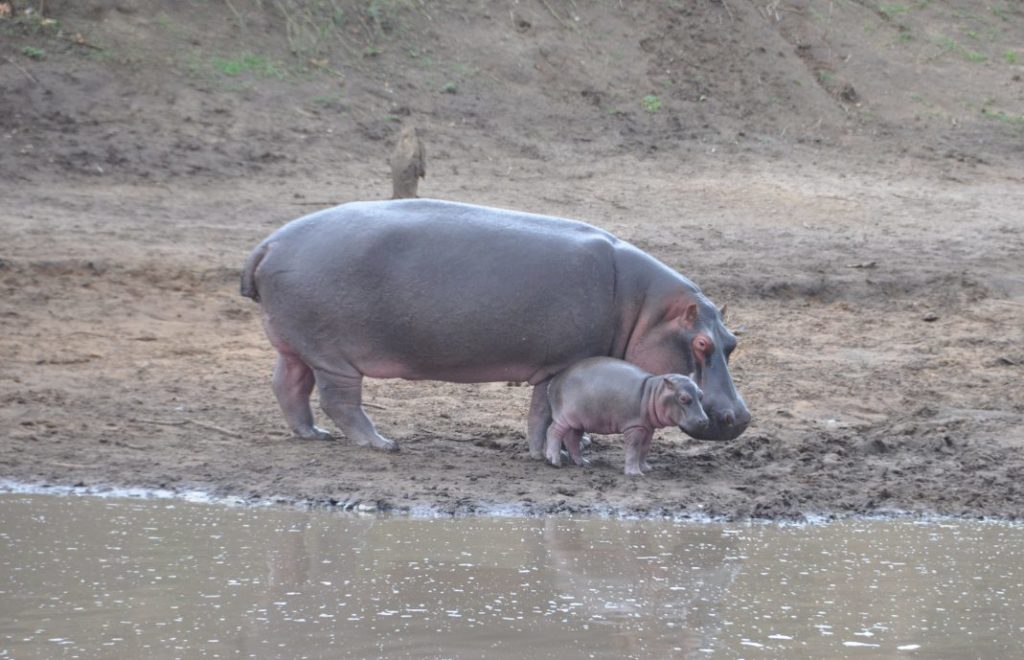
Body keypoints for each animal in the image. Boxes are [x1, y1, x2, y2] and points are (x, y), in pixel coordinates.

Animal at [239, 198, 753, 456]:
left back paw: (311, 435)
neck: (644, 307)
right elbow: (542, 412)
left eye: (732, 341)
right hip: (334, 356)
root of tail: (268, 242)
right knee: (339, 401)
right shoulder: (558, 364)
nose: (741, 417)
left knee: (288, 386)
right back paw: (383, 444)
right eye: (701, 342)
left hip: (295, 344)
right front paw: (548, 454)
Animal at [548, 360, 708, 472]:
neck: (653, 393)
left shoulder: (647, 427)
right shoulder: (634, 426)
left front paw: (646, 468)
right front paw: (635, 473)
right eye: (683, 398)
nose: (704, 420)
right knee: (553, 431)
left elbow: (644, 448)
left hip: (579, 420)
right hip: (564, 417)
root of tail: (555, 380)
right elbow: (634, 448)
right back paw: (554, 462)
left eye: (701, 395)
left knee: (572, 439)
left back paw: (583, 463)